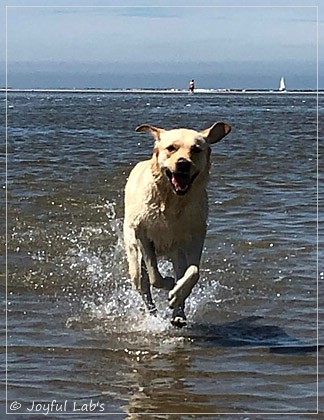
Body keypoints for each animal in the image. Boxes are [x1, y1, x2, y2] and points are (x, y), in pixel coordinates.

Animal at [123, 121, 232, 328]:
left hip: (177, 252)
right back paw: (154, 313)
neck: (173, 201)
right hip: (133, 256)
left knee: (181, 270)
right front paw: (168, 282)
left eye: (196, 149)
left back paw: (178, 314)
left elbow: (194, 271)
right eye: (171, 148)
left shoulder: (196, 233)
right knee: (142, 283)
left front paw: (176, 294)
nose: (183, 163)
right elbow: (154, 275)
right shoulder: (142, 233)